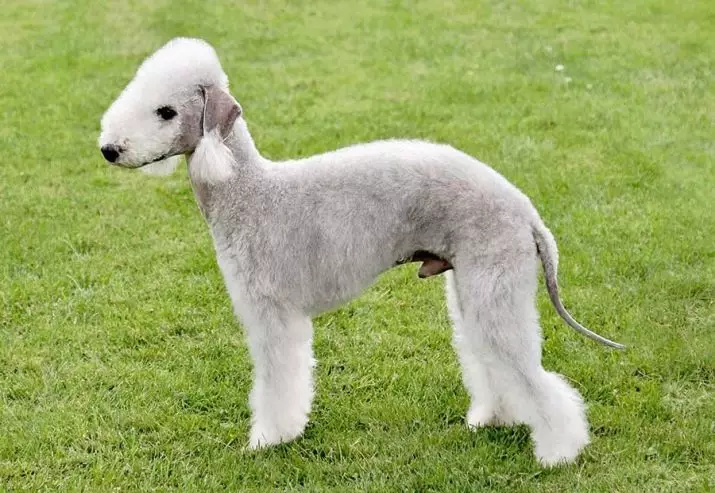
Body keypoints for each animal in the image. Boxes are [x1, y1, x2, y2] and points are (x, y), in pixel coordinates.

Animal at [98, 38, 624, 466]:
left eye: (166, 111)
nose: (109, 149)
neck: (246, 190)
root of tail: (526, 210)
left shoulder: (272, 312)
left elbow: (278, 382)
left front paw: (270, 439)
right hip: (474, 287)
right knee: (492, 360)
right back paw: (495, 419)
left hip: (494, 280)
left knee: (533, 375)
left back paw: (559, 453)